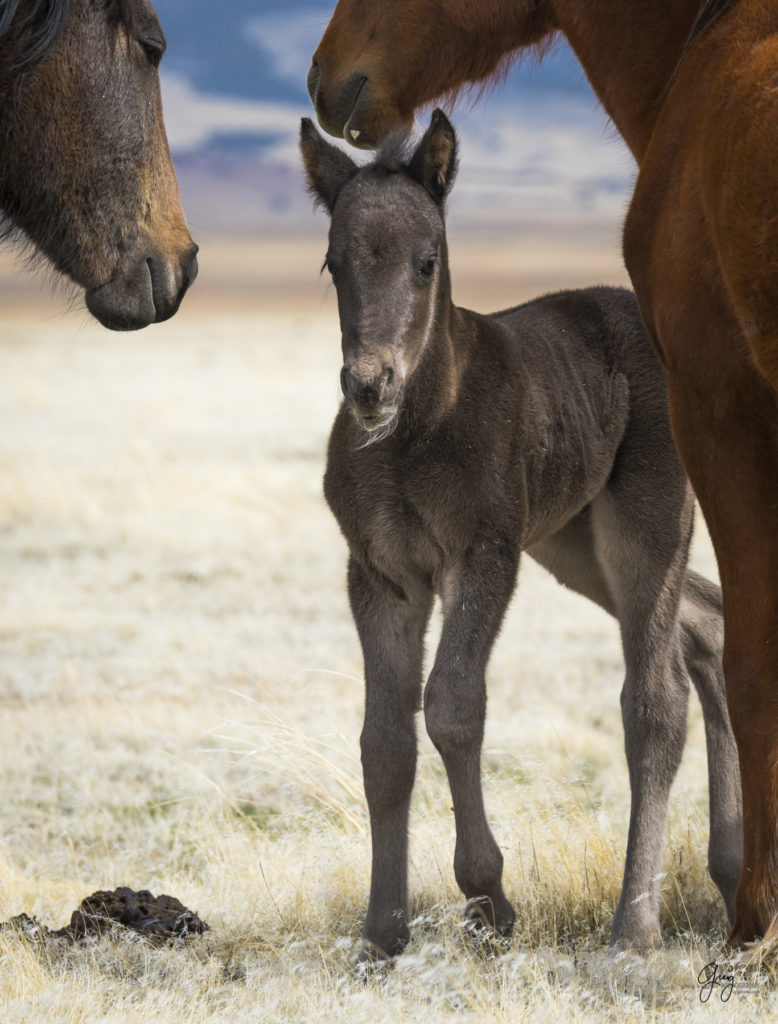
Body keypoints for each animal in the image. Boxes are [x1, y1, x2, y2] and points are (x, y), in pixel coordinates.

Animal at [309, 0, 778, 950]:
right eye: (335, 264)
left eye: (426, 261)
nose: (370, 385)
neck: (417, 431)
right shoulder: (380, 572)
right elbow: (384, 740)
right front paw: (383, 931)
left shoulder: (484, 553)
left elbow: (453, 705)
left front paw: (489, 897)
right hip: (574, 544)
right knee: (707, 627)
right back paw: (724, 872)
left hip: (645, 522)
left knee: (656, 697)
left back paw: (636, 928)